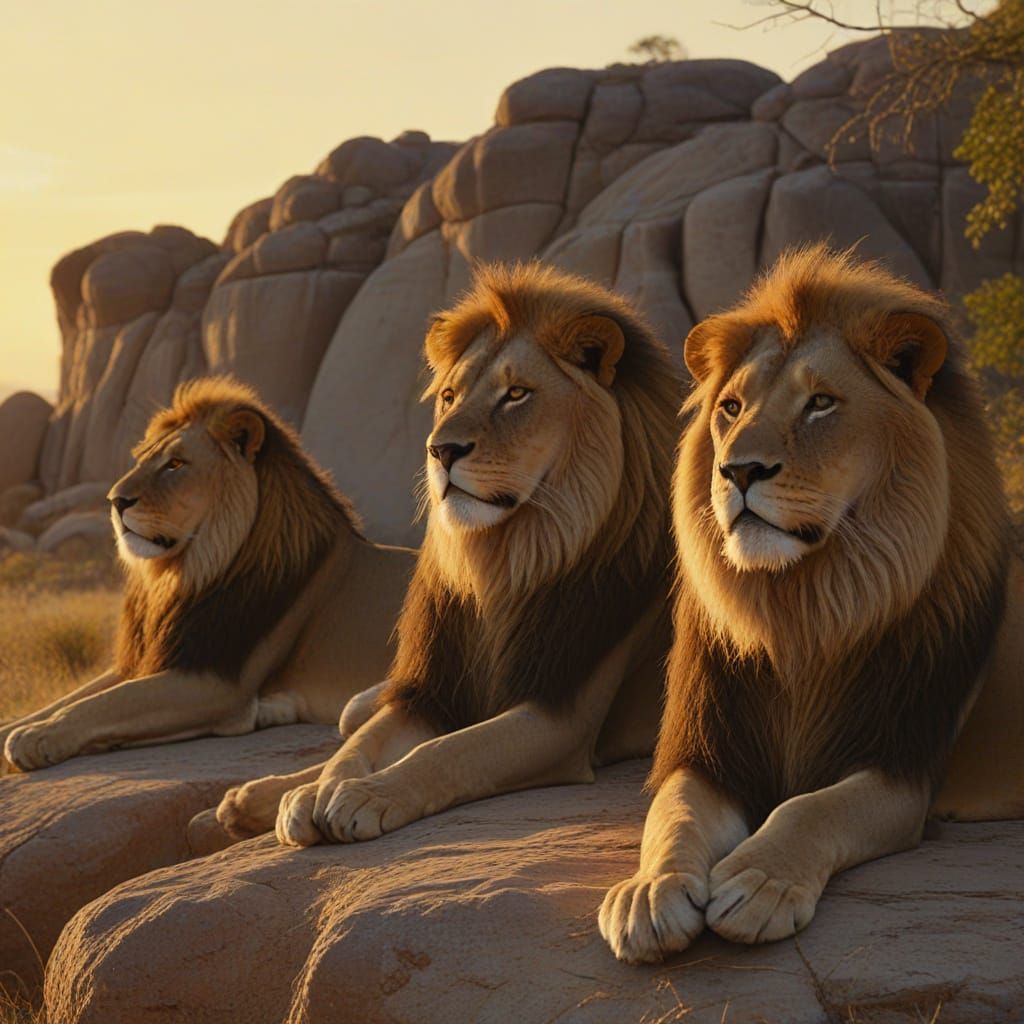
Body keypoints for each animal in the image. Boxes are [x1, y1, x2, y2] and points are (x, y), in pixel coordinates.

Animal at [1, 378, 414, 821]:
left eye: (175, 464)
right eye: (142, 459)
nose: (115, 500)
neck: (186, 573)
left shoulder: (213, 681)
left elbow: (106, 702)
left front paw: (36, 737)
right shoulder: (158, 657)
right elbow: (78, 696)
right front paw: (20, 726)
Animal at [216, 261, 682, 848]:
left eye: (517, 394)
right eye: (449, 396)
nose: (441, 450)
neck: (503, 562)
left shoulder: (560, 715)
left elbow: (448, 750)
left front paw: (367, 797)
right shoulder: (431, 691)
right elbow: (357, 749)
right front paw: (314, 796)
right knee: (350, 720)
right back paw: (258, 797)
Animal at [600, 245, 1024, 964]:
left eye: (821, 404)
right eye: (731, 407)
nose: (737, 471)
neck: (799, 609)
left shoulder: (902, 766)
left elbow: (812, 808)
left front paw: (759, 883)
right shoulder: (705, 751)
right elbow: (674, 817)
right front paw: (649, 892)